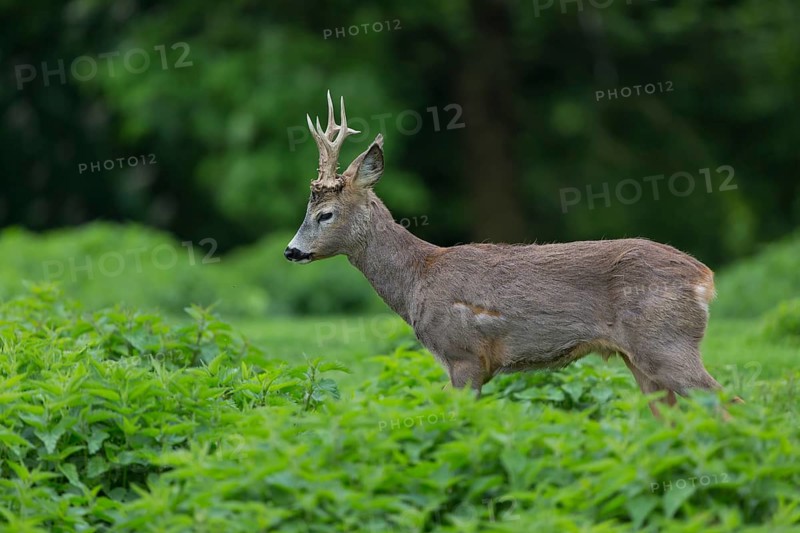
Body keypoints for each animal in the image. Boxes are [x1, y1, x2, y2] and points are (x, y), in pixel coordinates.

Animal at [285, 91, 726, 417]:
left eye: (325, 214)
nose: (291, 251)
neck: (416, 280)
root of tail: (705, 278)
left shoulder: (462, 353)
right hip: (640, 357)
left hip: (665, 341)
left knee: (725, 402)